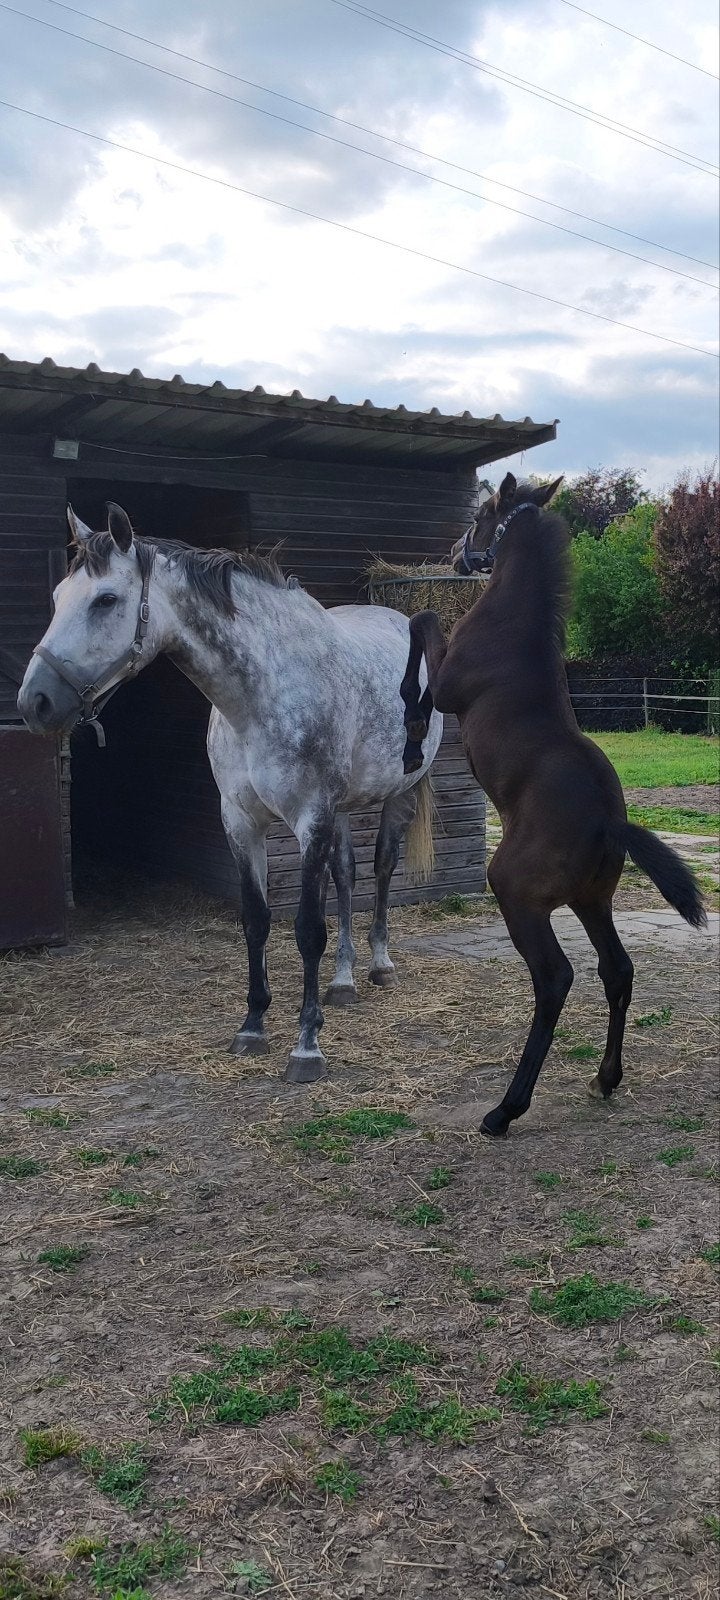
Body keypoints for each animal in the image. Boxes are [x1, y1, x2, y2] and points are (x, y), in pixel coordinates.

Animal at [17, 502, 442, 1083]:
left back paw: (380, 966)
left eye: (106, 600)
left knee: (380, 869)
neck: (262, 694)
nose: (33, 702)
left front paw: (306, 1047)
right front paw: (253, 1026)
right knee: (346, 875)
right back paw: (343, 982)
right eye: (59, 596)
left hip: (400, 791)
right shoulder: (241, 821)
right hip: (342, 809)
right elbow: (256, 920)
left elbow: (307, 928)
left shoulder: (310, 817)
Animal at [400, 472, 705, 1138]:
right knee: (617, 970)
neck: (515, 621)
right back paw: (605, 1079)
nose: (457, 555)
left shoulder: (451, 680)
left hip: (518, 895)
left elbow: (421, 621)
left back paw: (506, 1108)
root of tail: (611, 823)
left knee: (555, 978)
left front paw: (411, 729)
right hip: (592, 899)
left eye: (482, 516)